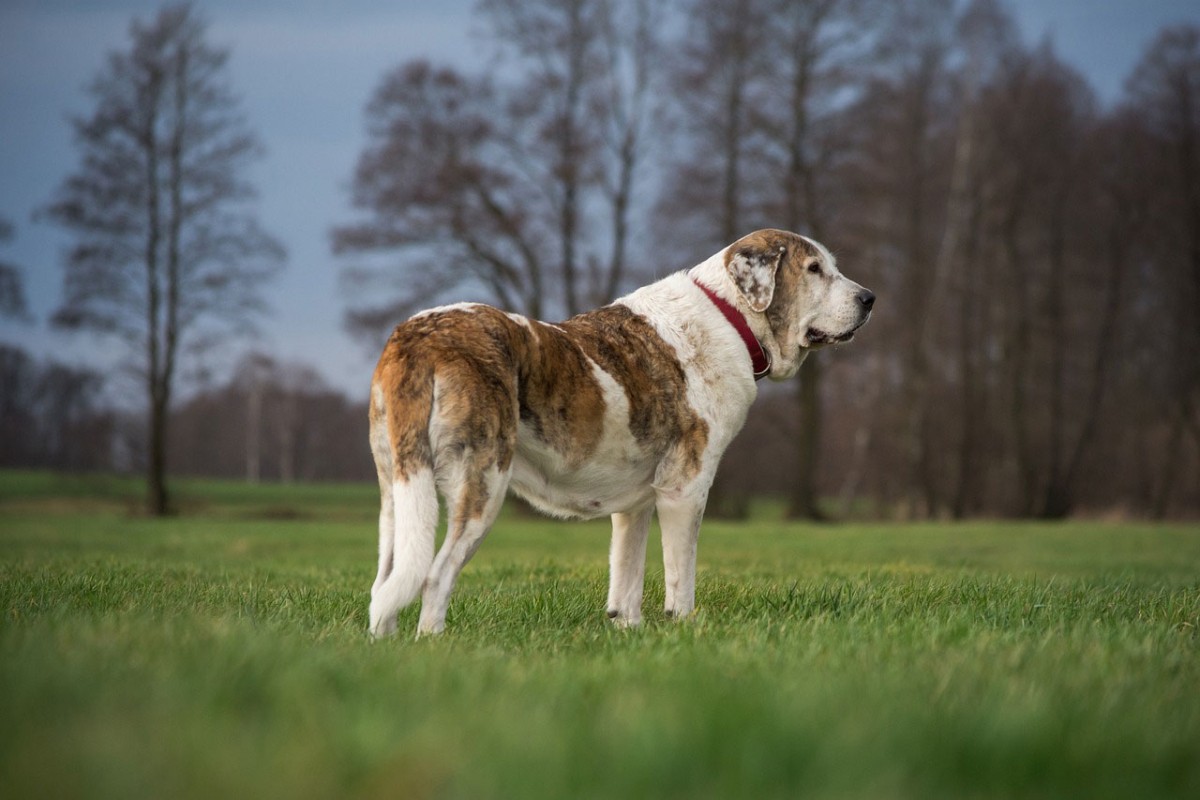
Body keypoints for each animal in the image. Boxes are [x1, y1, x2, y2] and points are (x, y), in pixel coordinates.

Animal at [364, 230, 873, 638]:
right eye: (815, 269)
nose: (869, 298)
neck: (729, 316)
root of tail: (419, 334)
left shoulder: (635, 506)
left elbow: (627, 578)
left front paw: (629, 631)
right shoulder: (685, 490)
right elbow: (680, 577)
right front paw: (682, 629)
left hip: (396, 494)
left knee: (384, 585)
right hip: (483, 485)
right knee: (434, 576)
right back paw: (432, 642)